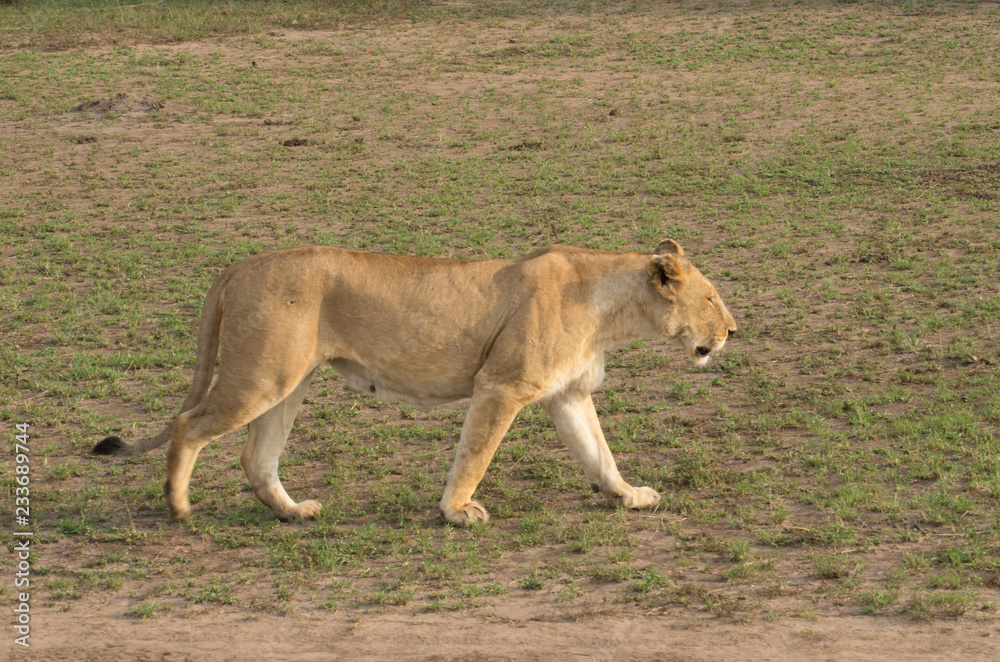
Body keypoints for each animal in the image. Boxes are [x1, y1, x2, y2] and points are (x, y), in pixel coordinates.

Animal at [93, 240, 736, 525]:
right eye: (710, 298)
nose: (732, 329)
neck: (610, 308)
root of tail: (236, 266)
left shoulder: (566, 393)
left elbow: (599, 454)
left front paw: (629, 497)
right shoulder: (501, 385)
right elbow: (475, 454)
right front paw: (458, 512)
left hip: (288, 382)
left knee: (257, 456)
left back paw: (294, 512)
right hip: (261, 376)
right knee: (188, 425)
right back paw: (179, 507)